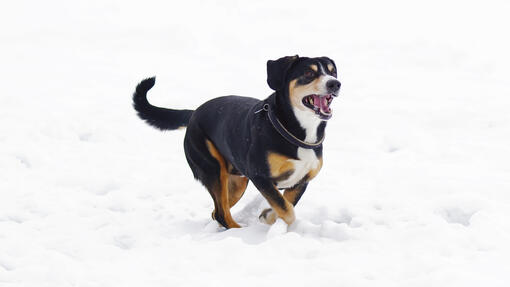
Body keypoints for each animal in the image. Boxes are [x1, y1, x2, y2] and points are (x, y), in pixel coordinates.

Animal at [132, 55, 338, 230]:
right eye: (308, 73)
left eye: (332, 71)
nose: (335, 84)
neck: (297, 131)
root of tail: (194, 113)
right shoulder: (259, 176)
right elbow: (287, 210)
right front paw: (269, 217)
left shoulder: (301, 181)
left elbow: (286, 204)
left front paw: (267, 215)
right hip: (213, 169)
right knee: (221, 213)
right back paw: (239, 231)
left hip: (237, 182)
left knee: (217, 211)